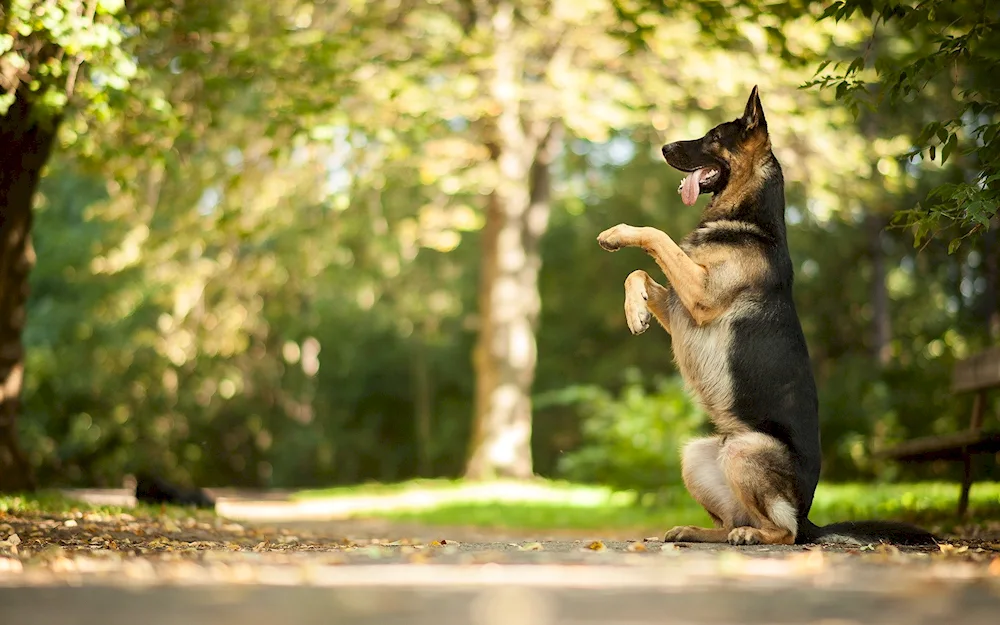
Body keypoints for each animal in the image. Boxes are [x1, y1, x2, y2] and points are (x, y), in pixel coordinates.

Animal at [600, 88, 936, 544]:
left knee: (783, 532)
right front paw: (635, 311)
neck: (746, 219)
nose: (665, 148)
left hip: (746, 450)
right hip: (699, 453)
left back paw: (755, 536)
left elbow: (655, 235)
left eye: (712, 137)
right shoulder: (681, 305)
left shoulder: (699, 296)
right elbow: (637, 271)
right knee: (730, 521)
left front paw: (617, 234)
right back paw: (699, 531)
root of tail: (809, 516)